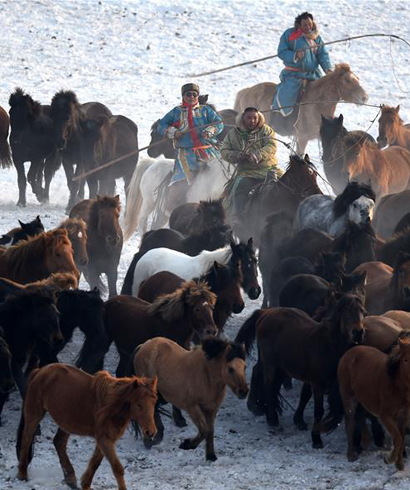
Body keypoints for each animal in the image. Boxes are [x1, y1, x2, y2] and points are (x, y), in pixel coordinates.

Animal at [16, 364, 157, 490]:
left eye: (154, 402)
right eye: (138, 404)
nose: (150, 432)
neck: (110, 405)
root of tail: (40, 371)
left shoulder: (105, 439)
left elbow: (95, 462)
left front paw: (85, 484)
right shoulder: (104, 439)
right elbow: (117, 467)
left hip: (66, 423)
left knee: (59, 442)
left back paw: (70, 479)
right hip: (35, 414)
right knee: (27, 438)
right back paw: (22, 474)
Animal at [133, 334, 248, 462]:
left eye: (245, 367)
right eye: (230, 368)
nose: (244, 391)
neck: (207, 376)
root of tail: (143, 346)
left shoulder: (211, 409)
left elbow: (210, 431)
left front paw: (211, 456)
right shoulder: (192, 407)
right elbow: (204, 430)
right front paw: (187, 445)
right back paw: (150, 440)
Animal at [234, 64, 368, 153]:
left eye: (357, 78)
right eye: (347, 80)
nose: (365, 97)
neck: (317, 105)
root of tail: (246, 92)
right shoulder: (302, 138)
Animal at [338, 336, 410, 470]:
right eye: (405, 360)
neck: (396, 386)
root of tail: (349, 352)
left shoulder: (404, 418)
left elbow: (401, 438)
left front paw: (399, 464)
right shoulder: (385, 416)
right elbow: (397, 438)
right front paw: (389, 459)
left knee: (360, 416)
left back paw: (365, 442)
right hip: (348, 397)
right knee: (350, 424)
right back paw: (351, 455)